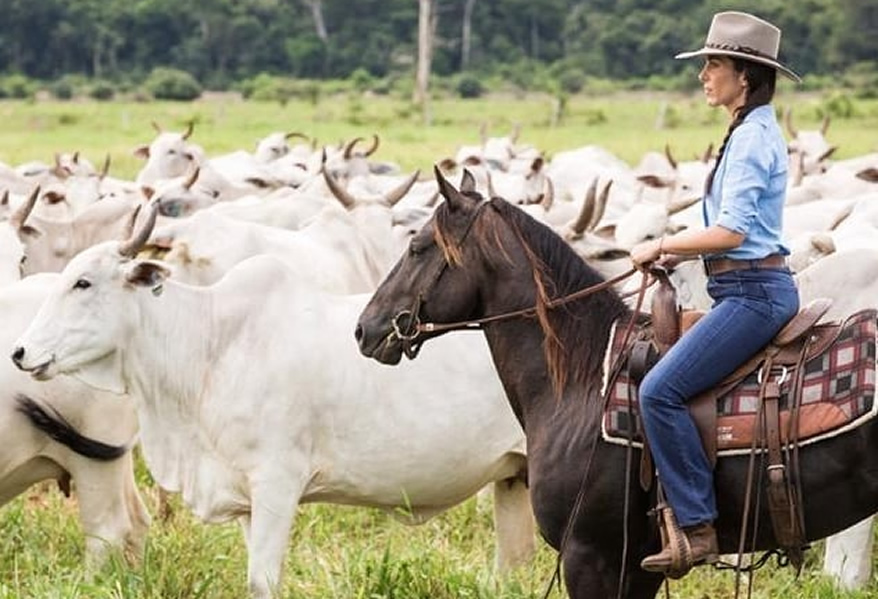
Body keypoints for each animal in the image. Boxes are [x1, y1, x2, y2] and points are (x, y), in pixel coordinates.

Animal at [13, 207, 532, 599]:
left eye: (83, 283)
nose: (20, 352)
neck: (210, 344)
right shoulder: (245, 499)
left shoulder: (277, 485)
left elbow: (262, 582)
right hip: (513, 479)